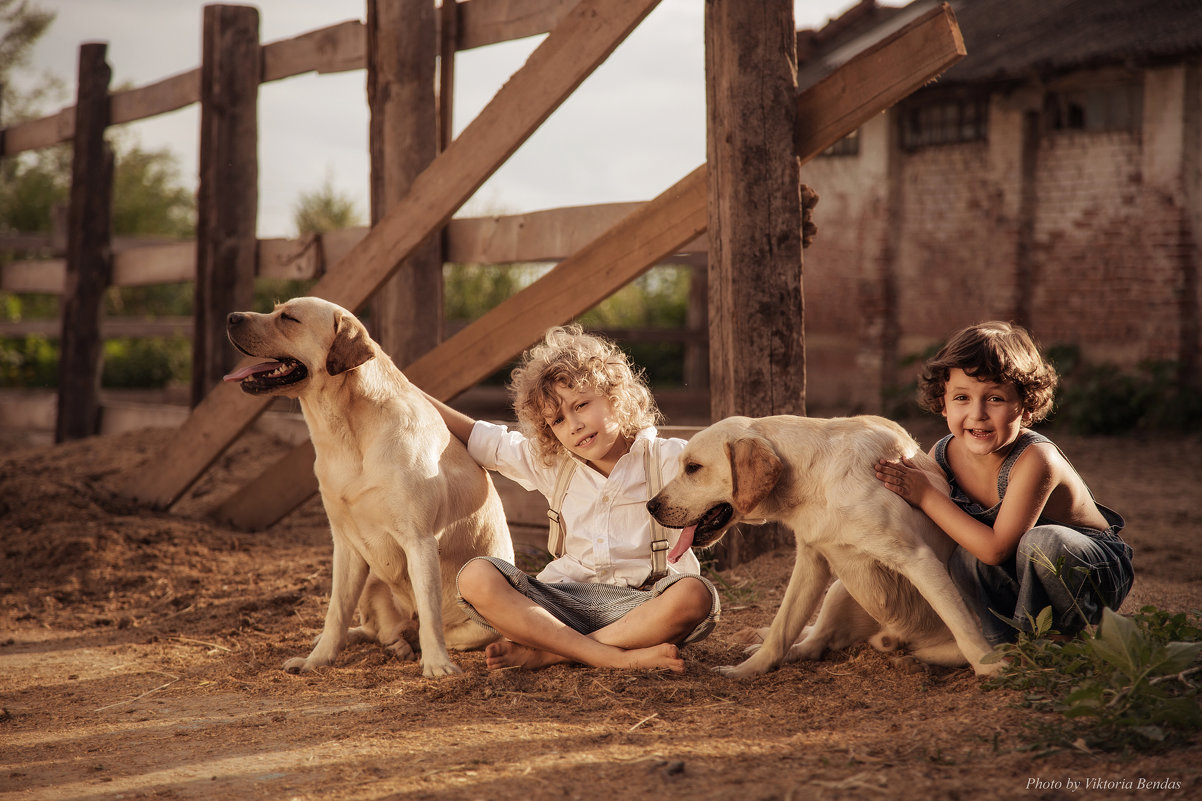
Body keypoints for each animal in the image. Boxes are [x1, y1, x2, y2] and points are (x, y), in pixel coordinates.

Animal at [223, 295, 514, 678]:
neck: (345, 433)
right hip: (371, 578)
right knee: (377, 630)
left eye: (289, 318)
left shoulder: (419, 541)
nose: (230, 317)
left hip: (480, 623)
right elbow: (335, 613)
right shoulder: (345, 545)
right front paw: (317, 660)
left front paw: (436, 665)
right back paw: (381, 643)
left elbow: (430, 615)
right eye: (275, 309)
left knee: (425, 628)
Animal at [653, 413, 1000, 678]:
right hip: (837, 591)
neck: (817, 484)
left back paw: (912, 661)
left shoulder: (918, 559)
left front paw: (993, 670)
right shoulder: (811, 561)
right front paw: (749, 669)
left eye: (693, 468)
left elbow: (966, 632)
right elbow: (781, 629)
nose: (651, 506)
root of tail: (894, 635)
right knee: (814, 643)